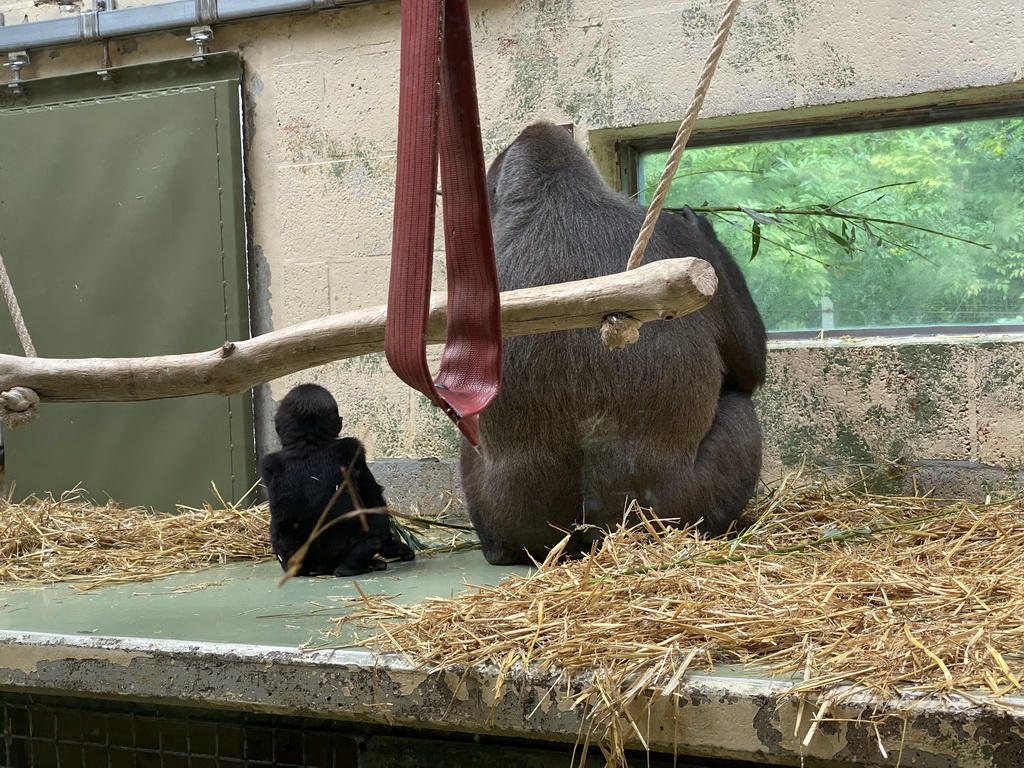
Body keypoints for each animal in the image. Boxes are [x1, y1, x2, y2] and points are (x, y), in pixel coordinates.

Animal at [258, 385, 413, 577]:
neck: (308, 441)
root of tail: (321, 567)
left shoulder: (268, 462)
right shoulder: (353, 448)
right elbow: (373, 497)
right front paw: (395, 548)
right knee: (375, 526)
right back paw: (353, 566)